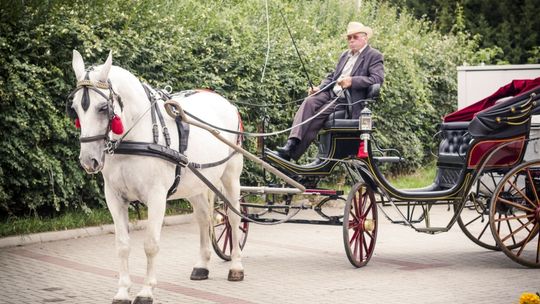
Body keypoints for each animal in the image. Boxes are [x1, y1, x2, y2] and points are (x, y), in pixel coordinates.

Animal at [69, 50, 245, 304]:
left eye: (103, 107)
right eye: (74, 108)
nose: (88, 160)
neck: (136, 135)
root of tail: (226, 103)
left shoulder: (156, 197)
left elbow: (151, 244)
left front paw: (146, 291)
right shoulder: (114, 197)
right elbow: (122, 245)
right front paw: (122, 291)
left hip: (231, 175)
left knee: (232, 218)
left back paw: (236, 267)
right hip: (195, 183)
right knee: (204, 218)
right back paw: (202, 265)